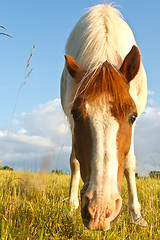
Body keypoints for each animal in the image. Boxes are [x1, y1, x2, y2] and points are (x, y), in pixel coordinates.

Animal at [60, 4, 148, 231]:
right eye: (76, 114)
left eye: (132, 116)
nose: (100, 211)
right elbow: (75, 161)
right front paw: (71, 207)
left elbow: (130, 164)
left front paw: (136, 216)